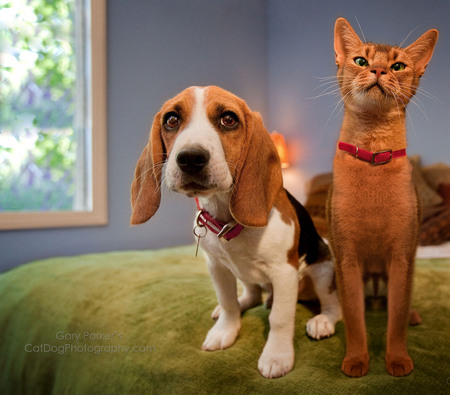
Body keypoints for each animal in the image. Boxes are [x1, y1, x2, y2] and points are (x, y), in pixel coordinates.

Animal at [130, 85, 342, 378]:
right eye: (171, 120)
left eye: (228, 119)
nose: (190, 158)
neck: (227, 220)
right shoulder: (217, 267)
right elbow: (229, 302)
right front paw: (225, 330)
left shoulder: (284, 272)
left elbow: (280, 317)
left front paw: (277, 355)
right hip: (243, 274)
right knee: (251, 295)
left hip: (323, 268)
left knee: (334, 306)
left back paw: (323, 322)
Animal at [328, 17, 438, 378]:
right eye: (361, 60)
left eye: (398, 65)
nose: (378, 70)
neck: (373, 156)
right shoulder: (346, 257)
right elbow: (354, 320)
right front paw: (356, 360)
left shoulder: (402, 256)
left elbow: (397, 319)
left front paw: (398, 360)